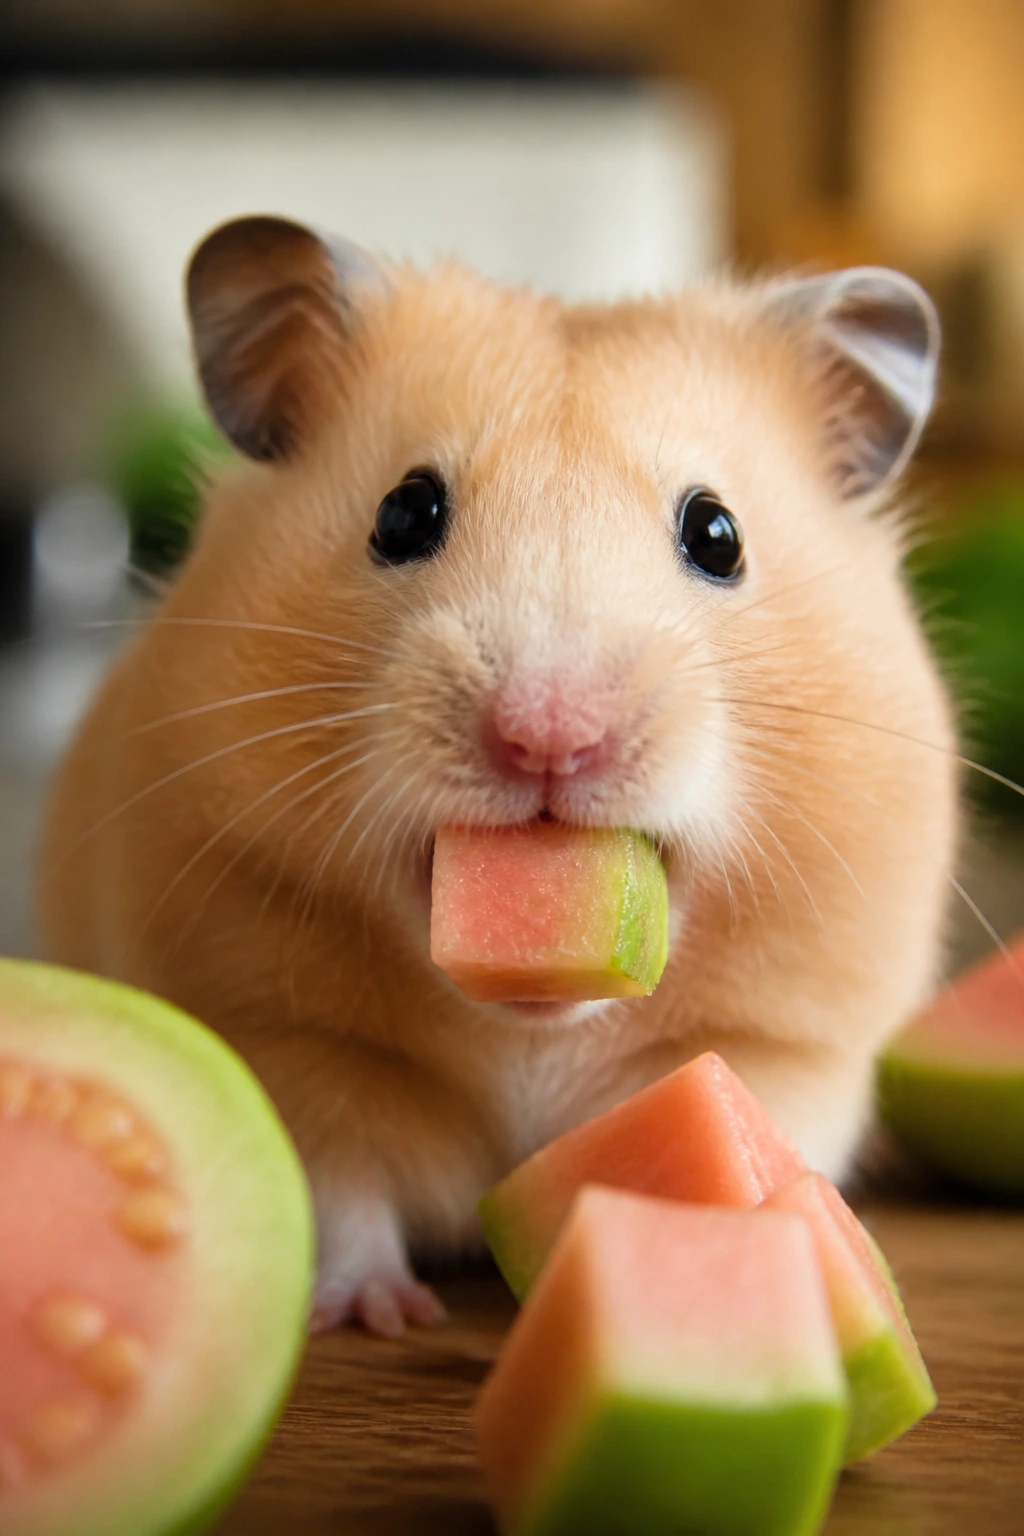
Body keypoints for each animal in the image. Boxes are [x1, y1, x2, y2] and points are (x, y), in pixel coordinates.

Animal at [37, 216, 957, 1336]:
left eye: (717, 535)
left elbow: (743, 1130)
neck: (527, 1032)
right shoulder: (279, 1030)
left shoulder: (790, 1042)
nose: (547, 737)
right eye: (404, 513)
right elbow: (341, 1188)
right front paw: (377, 1313)